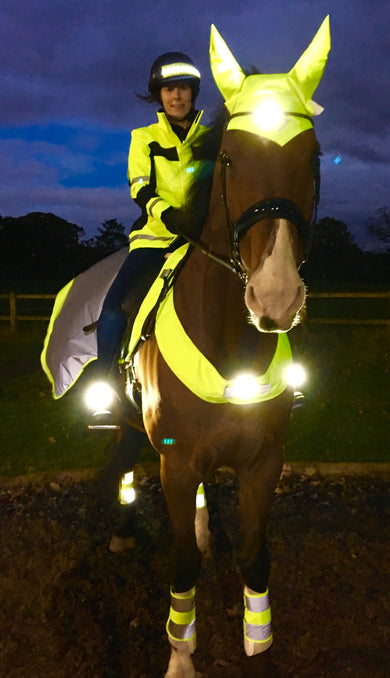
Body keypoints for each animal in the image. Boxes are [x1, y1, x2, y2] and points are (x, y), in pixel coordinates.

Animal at [118, 17, 330, 678]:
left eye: (314, 159)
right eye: (231, 158)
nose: (275, 295)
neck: (230, 346)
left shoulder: (264, 462)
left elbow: (256, 556)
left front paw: (257, 644)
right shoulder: (174, 461)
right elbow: (182, 564)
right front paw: (181, 658)